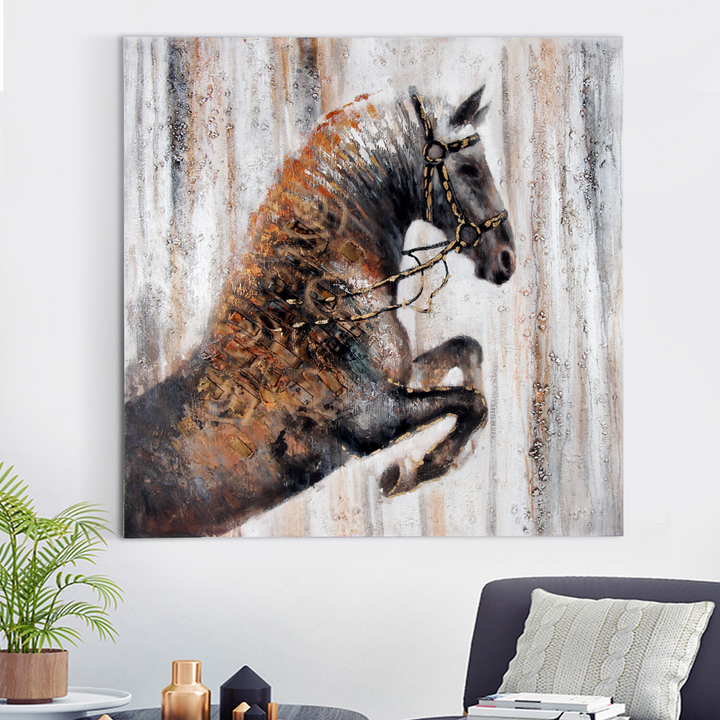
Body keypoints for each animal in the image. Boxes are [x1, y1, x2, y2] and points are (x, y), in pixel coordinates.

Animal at [124, 85, 515, 537]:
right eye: (469, 169)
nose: (506, 260)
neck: (314, 303)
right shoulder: (377, 419)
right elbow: (471, 402)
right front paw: (415, 470)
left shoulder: (401, 382)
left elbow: (467, 352)